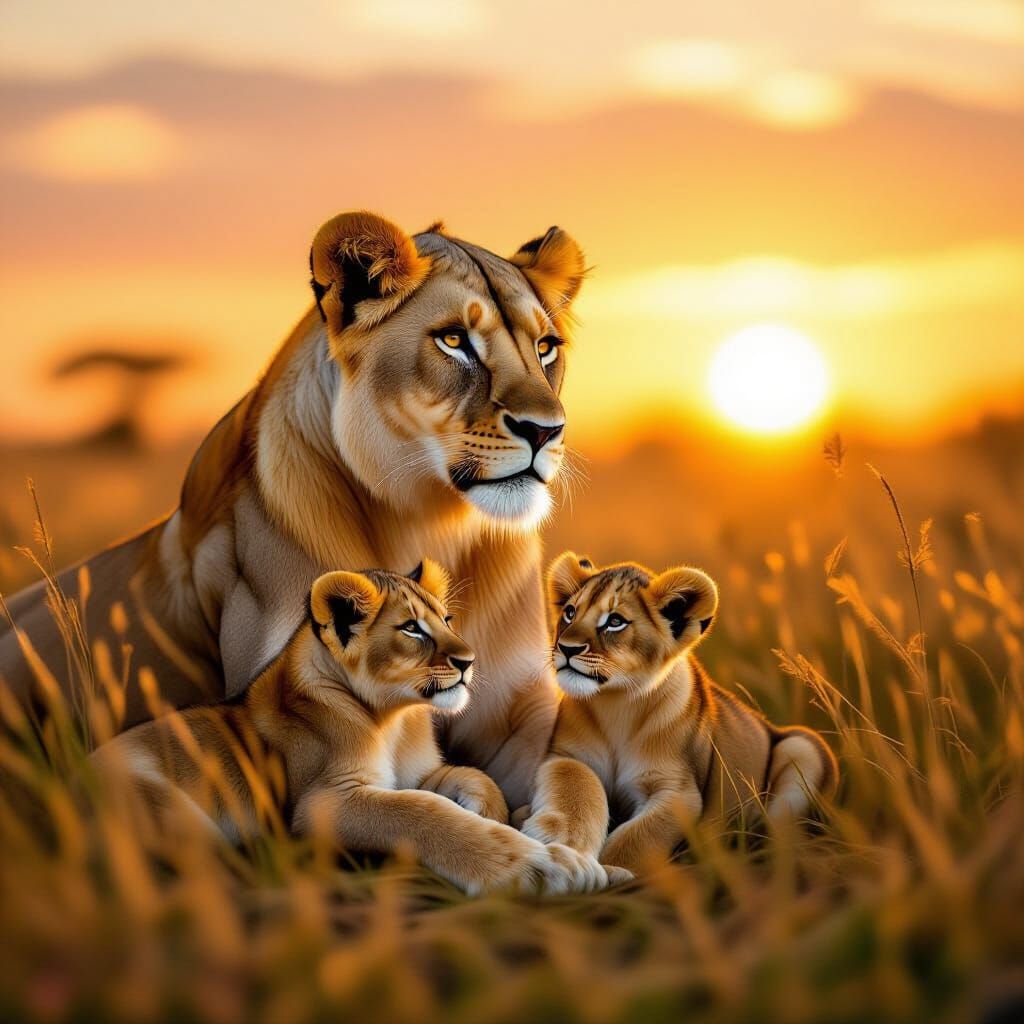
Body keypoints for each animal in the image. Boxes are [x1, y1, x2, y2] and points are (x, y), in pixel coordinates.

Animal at [0, 212, 586, 808]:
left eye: (545, 347)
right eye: (453, 340)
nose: (546, 430)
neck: (435, 520)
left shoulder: (520, 712)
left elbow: (573, 780)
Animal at [90, 560, 617, 895]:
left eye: (446, 619)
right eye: (412, 629)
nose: (468, 661)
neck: (393, 718)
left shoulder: (418, 771)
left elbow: (472, 776)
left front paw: (490, 809)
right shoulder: (325, 800)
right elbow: (421, 813)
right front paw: (546, 864)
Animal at [520, 553, 839, 874]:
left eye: (615, 621)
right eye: (570, 612)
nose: (566, 648)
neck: (617, 703)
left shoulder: (678, 789)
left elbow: (636, 839)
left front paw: (609, 871)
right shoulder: (567, 755)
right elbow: (576, 785)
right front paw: (562, 841)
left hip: (802, 745)